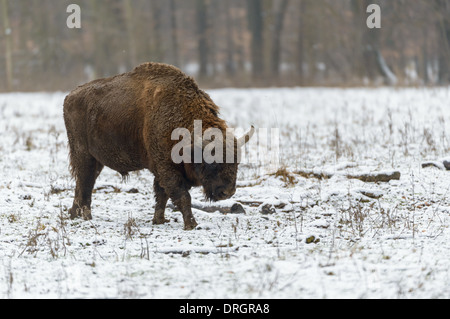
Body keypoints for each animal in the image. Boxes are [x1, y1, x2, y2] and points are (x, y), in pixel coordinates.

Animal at [63, 62, 255, 231]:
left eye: (237, 161)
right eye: (212, 161)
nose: (227, 192)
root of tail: (69, 97)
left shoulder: (161, 170)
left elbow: (162, 195)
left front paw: (159, 220)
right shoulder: (166, 168)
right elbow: (182, 196)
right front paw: (191, 224)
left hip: (96, 160)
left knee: (83, 183)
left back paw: (75, 214)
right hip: (83, 154)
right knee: (85, 183)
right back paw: (85, 216)